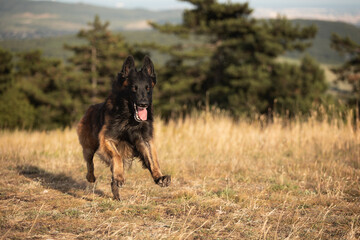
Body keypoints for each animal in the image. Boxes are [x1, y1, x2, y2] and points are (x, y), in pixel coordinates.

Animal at [75, 55, 170, 200]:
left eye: (148, 88)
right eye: (134, 88)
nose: (143, 104)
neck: (129, 118)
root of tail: (90, 107)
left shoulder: (145, 139)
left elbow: (153, 159)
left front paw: (159, 177)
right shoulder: (107, 138)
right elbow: (117, 156)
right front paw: (119, 177)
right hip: (89, 146)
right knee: (89, 162)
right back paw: (91, 177)